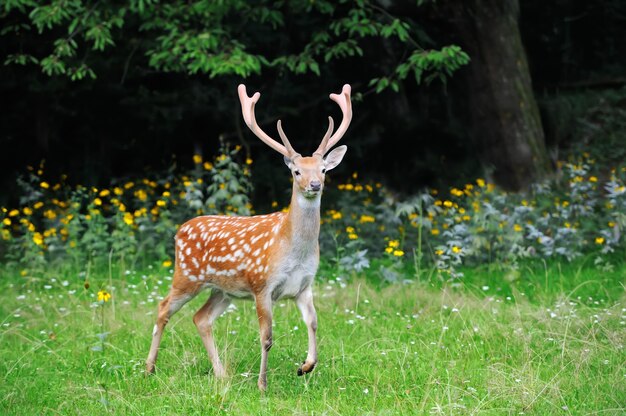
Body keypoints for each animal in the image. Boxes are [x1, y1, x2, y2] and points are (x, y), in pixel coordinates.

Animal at [145, 83, 352, 390]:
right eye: (296, 171)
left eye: (324, 169)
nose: (315, 184)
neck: (293, 250)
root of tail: (180, 231)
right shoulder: (262, 284)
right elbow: (266, 337)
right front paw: (262, 384)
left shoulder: (304, 286)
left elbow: (313, 323)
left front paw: (305, 367)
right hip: (187, 276)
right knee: (162, 308)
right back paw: (149, 368)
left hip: (223, 290)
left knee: (201, 318)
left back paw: (221, 373)